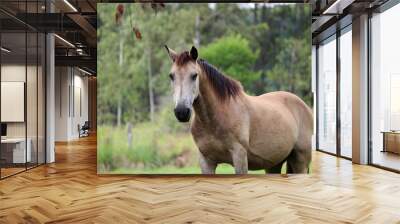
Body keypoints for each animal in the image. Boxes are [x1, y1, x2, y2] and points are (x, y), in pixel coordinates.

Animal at [164, 45, 314, 174]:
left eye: (194, 75)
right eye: (171, 76)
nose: (181, 112)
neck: (215, 119)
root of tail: (305, 107)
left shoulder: (239, 156)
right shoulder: (206, 161)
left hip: (300, 161)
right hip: (274, 164)